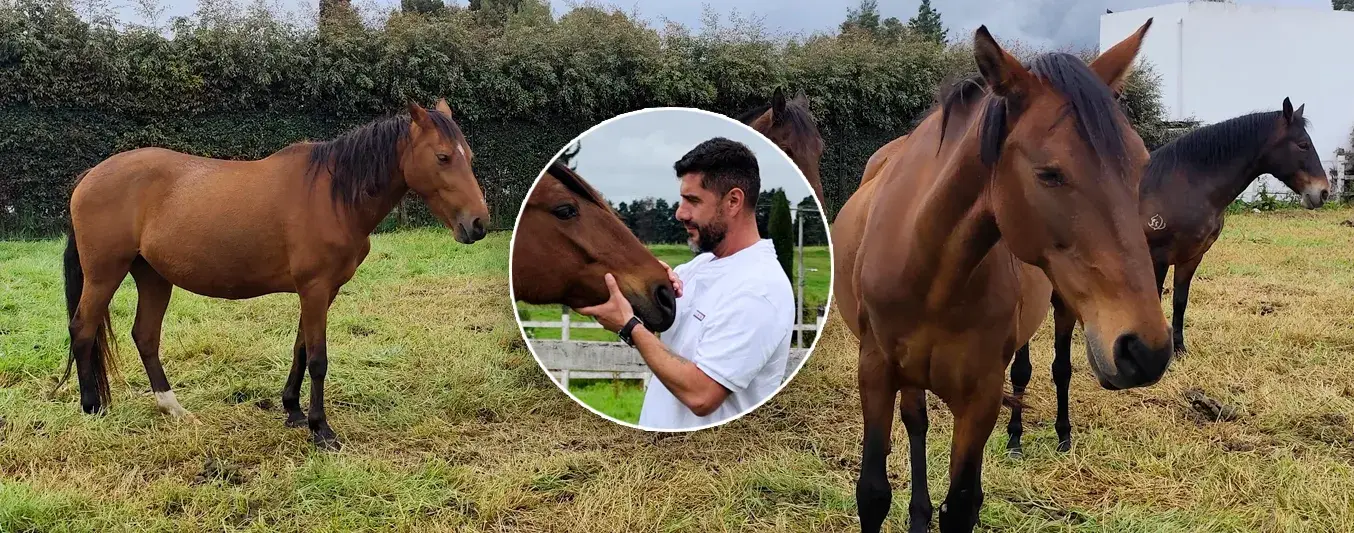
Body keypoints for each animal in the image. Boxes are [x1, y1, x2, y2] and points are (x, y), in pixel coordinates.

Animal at [60, 100, 489, 451]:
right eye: (443, 157)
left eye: (467, 156)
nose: (478, 224)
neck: (332, 195)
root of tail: (89, 176)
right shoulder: (315, 288)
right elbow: (318, 358)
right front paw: (321, 429)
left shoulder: (321, 291)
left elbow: (300, 349)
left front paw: (294, 411)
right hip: (104, 274)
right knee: (83, 329)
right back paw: (93, 408)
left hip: (152, 276)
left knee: (145, 336)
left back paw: (173, 408)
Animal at [831, 21, 1167, 533]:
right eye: (1049, 173)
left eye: (1142, 164)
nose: (1146, 350)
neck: (930, 271)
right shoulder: (875, 370)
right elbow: (873, 493)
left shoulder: (981, 394)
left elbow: (962, 504)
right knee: (917, 421)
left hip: (1064, 308)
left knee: (1055, 369)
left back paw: (1050, 436)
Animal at [1005, 99, 1332, 456]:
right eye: (1302, 144)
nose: (1323, 193)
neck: (1186, 183)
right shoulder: (1158, 256)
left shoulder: (1191, 256)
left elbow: (1180, 301)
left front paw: (1179, 348)